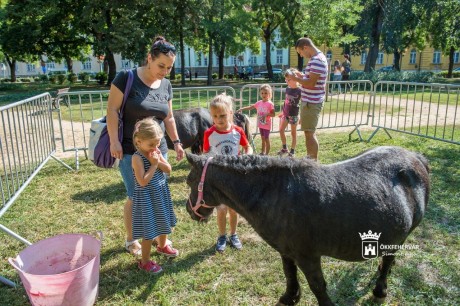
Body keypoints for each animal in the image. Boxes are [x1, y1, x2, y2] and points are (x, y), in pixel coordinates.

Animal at [185, 147, 430, 304]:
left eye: (189, 181)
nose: (189, 210)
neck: (276, 194)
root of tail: (417, 157)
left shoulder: (308, 256)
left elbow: (317, 285)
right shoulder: (286, 250)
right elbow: (289, 273)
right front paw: (290, 297)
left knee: (388, 260)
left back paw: (380, 289)